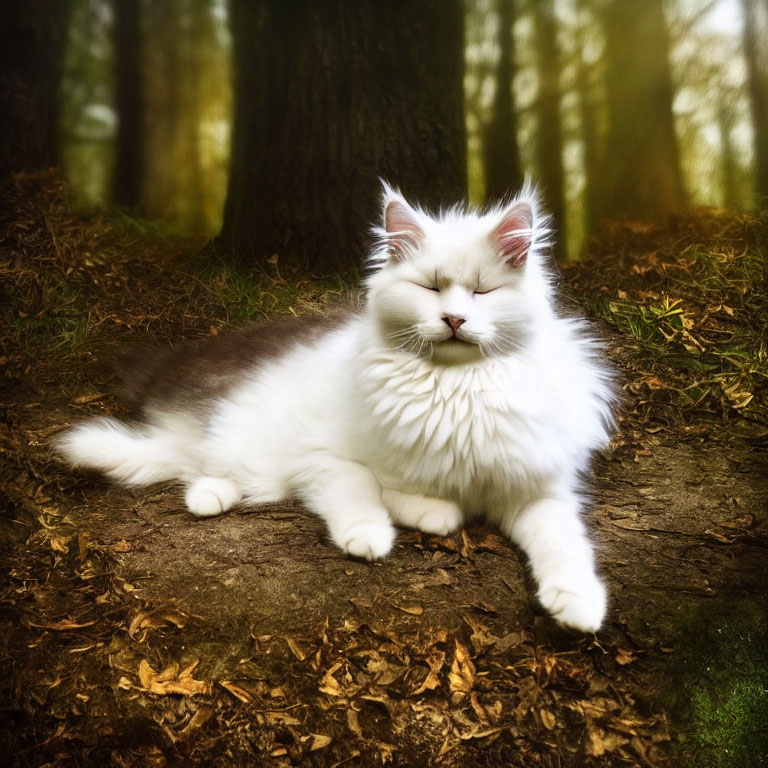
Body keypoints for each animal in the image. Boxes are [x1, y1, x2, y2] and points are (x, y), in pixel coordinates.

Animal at [57, 184, 616, 632]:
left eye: (483, 291)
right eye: (430, 288)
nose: (454, 319)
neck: (459, 390)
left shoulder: (539, 492)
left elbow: (564, 546)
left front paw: (579, 606)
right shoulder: (327, 457)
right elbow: (374, 494)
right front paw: (381, 534)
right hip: (257, 447)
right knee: (207, 466)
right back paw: (209, 499)